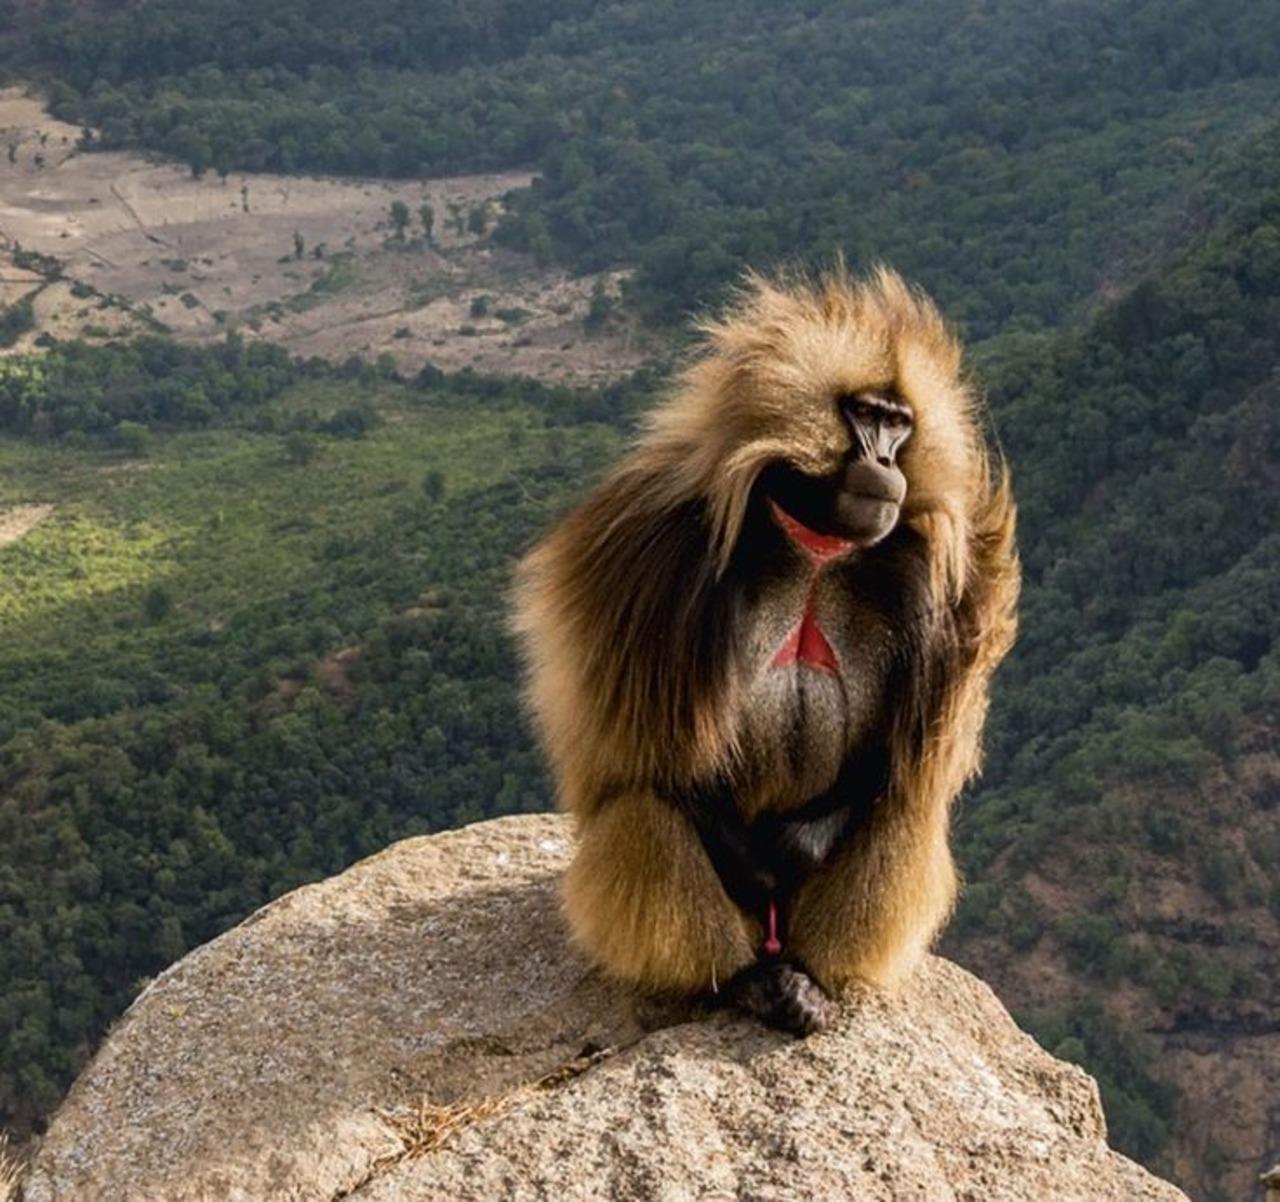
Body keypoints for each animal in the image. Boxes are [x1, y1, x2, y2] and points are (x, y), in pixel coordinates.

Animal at [513, 265, 1019, 1035]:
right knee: (644, 814)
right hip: (746, 923)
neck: (816, 546)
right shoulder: (653, 559)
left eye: (899, 423)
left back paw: (808, 981)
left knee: (904, 808)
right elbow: (657, 759)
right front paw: (756, 868)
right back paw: (745, 983)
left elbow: (903, 758)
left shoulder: (952, 595)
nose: (885, 461)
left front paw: (793, 849)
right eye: (865, 414)